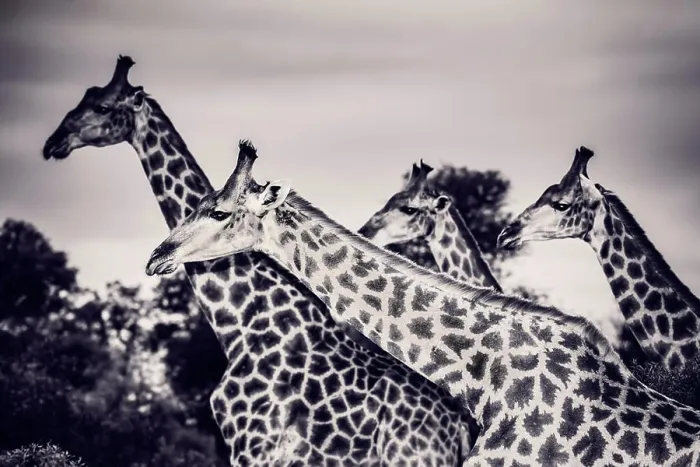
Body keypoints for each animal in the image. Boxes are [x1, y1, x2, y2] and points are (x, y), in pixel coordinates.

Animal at [42, 55, 478, 466]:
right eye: (85, 95)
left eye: (101, 107)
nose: (53, 142)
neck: (242, 327)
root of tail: (459, 427)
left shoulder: (251, 444)